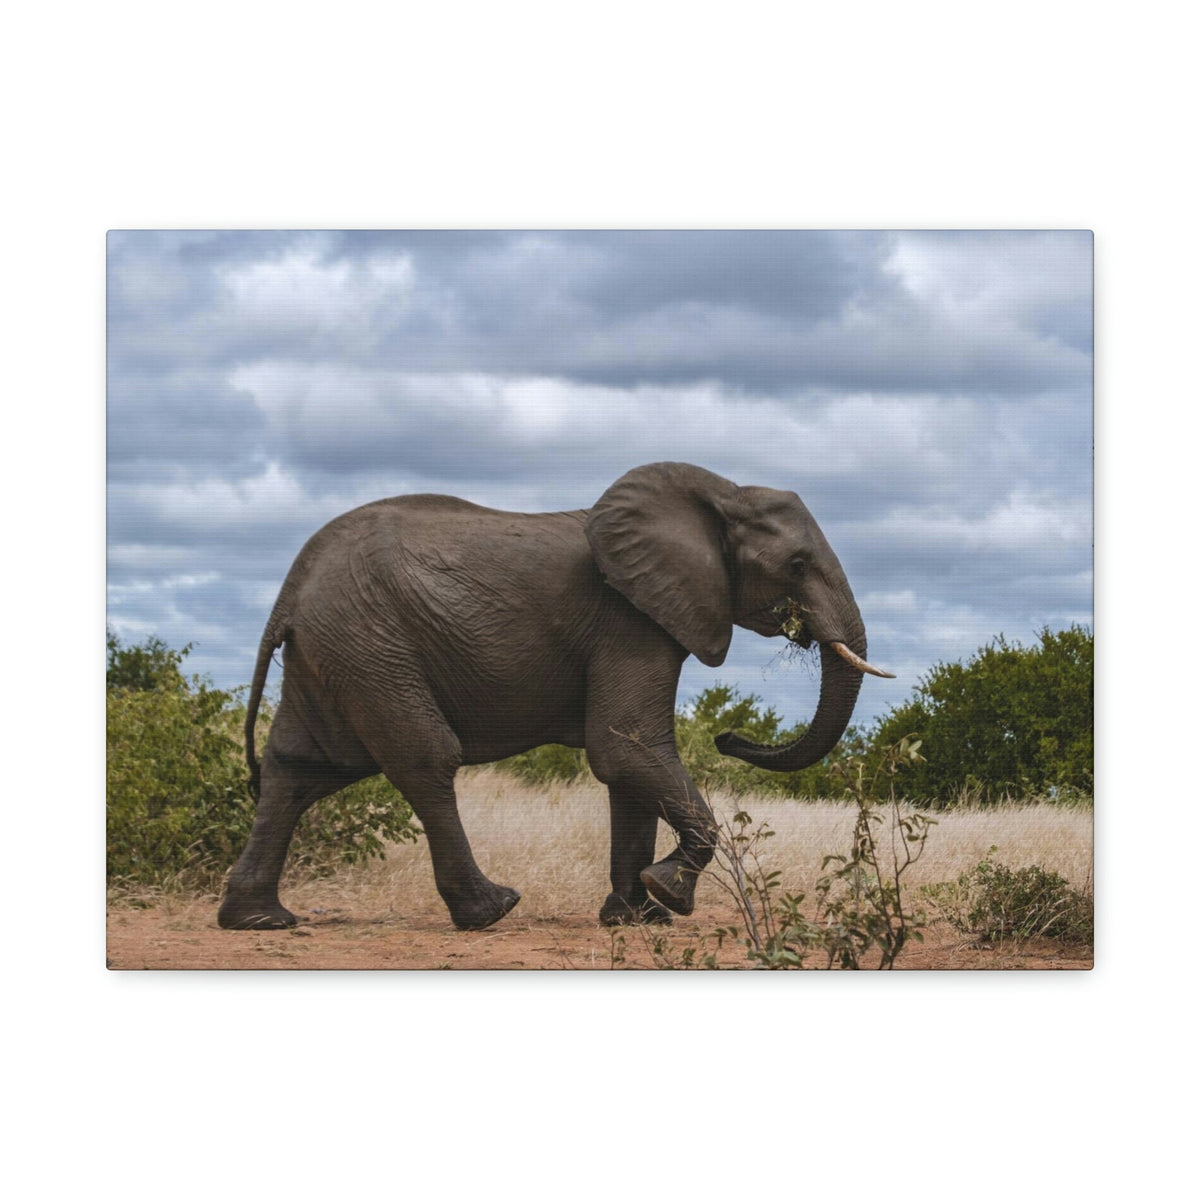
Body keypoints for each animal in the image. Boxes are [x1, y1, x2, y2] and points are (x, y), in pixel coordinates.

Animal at [218, 461, 893, 932]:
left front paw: (635, 917)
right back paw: (491, 910)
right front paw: (668, 894)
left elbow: (628, 763)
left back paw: (259, 921)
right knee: (425, 757)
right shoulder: (630, 619)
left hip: (336, 650)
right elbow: (625, 748)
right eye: (798, 565)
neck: (719, 493)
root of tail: (291, 586)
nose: (727, 737)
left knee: (299, 768)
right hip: (370, 642)